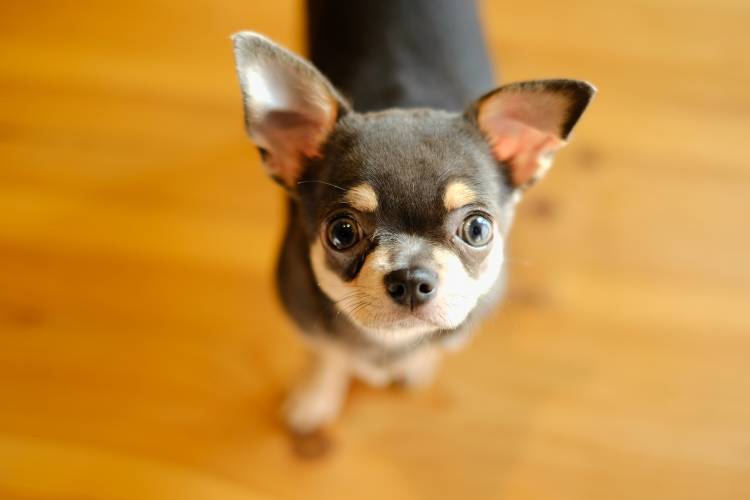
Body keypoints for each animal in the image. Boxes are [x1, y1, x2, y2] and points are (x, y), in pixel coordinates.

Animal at [232, 0, 596, 434]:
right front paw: (316, 397)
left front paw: (415, 365)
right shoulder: (308, 319)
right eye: (342, 233)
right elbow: (327, 353)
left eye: (477, 229)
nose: (410, 279)